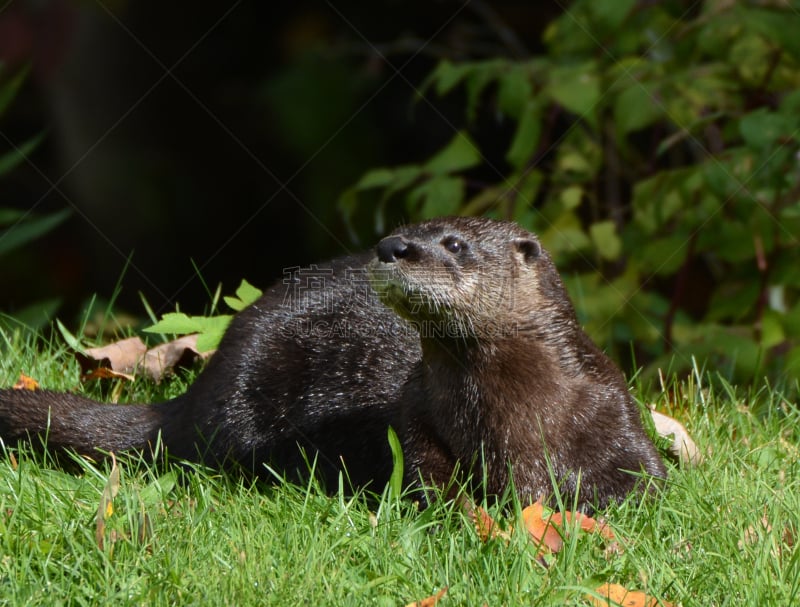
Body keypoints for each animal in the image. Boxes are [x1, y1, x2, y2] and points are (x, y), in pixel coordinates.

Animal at [0, 216, 664, 510]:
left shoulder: (613, 412)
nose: (393, 246)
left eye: (453, 243)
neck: (519, 421)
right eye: (402, 228)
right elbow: (431, 486)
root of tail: (200, 390)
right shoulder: (417, 422)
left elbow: (648, 488)